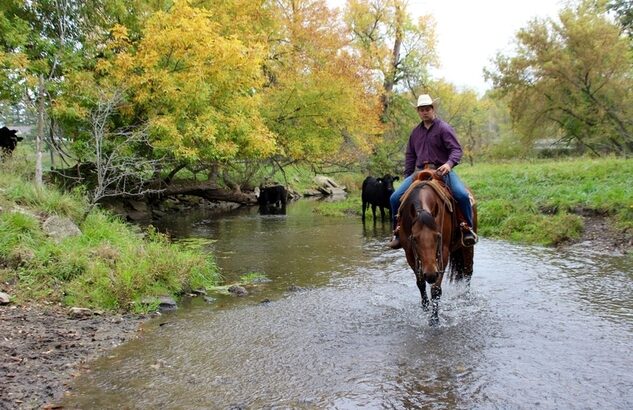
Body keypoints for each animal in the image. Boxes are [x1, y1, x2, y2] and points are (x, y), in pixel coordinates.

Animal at [398, 171, 472, 326]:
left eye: (438, 236)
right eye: (414, 238)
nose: (431, 274)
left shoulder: (443, 253)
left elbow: (436, 289)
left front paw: (434, 319)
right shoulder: (410, 253)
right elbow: (420, 283)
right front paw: (425, 307)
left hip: (467, 247)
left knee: (468, 273)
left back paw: (465, 298)